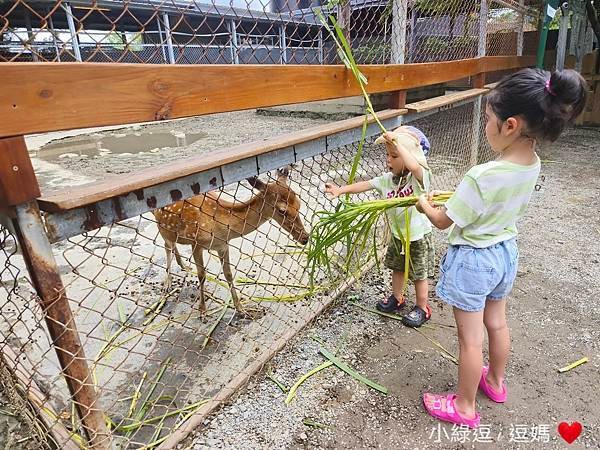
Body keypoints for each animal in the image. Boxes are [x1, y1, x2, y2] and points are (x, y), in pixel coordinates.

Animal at [152, 168, 310, 316]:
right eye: (282, 210)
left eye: (299, 203)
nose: (305, 237)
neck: (220, 226)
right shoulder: (196, 242)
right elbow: (202, 275)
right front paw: (202, 310)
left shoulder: (223, 245)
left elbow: (228, 274)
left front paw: (240, 308)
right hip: (163, 228)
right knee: (167, 246)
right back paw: (167, 283)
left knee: (172, 246)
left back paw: (183, 265)